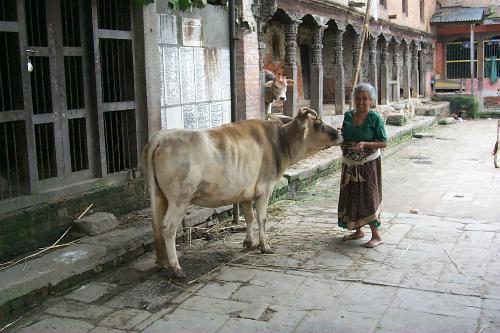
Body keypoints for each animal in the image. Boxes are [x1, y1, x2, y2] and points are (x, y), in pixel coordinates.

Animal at [143, 107, 342, 276]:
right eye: (319, 124)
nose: (340, 133)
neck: (281, 143)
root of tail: (162, 136)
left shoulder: (246, 192)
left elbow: (249, 217)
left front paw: (249, 243)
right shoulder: (264, 189)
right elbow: (261, 218)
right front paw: (265, 245)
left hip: (160, 196)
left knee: (157, 226)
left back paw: (163, 263)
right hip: (180, 199)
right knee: (168, 227)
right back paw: (176, 268)